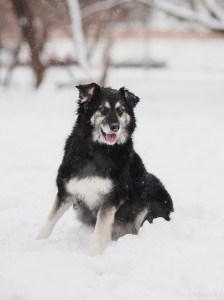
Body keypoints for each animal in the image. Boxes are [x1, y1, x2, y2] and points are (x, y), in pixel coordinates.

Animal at [37, 82, 173, 255]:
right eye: (102, 109)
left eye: (121, 110)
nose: (115, 127)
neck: (98, 150)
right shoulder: (66, 191)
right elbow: (48, 221)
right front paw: (36, 243)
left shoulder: (110, 200)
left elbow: (98, 235)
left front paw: (94, 256)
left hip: (151, 198)